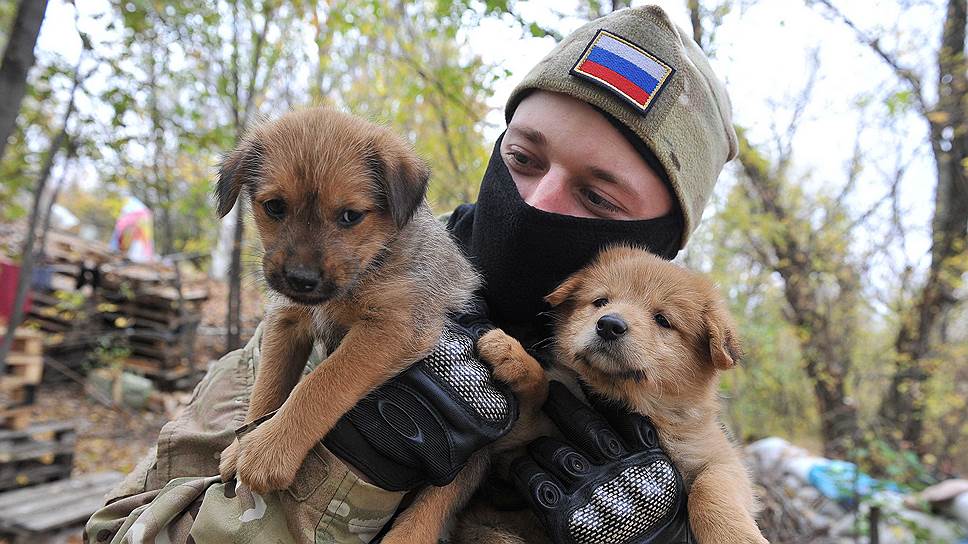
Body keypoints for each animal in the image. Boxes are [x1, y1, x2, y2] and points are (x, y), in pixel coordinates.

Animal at [216, 107, 480, 498]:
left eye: (350, 216)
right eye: (274, 207)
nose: (301, 279)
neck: (371, 264)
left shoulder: (393, 326)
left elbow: (322, 382)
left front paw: (270, 450)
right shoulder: (287, 319)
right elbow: (268, 385)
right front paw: (241, 447)